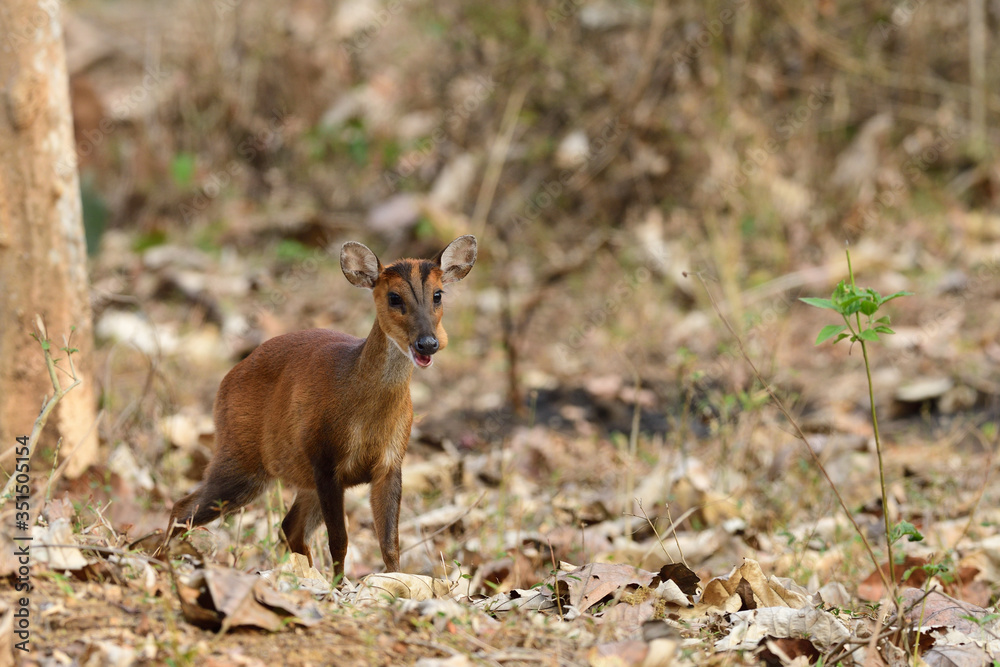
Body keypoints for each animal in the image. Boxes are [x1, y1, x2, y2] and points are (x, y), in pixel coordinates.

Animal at [158, 235, 477, 579]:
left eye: (438, 294)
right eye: (394, 297)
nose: (428, 343)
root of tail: (226, 382)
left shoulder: (391, 463)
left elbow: (390, 543)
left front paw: (394, 581)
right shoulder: (324, 458)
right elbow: (339, 541)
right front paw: (340, 587)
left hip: (294, 474)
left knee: (289, 526)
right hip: (240, 458)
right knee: (183, 508)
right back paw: (162, 559)